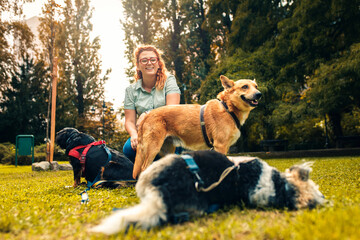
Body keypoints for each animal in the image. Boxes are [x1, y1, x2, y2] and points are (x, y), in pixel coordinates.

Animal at [132, 75, 262, 178]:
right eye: (245, 86)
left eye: (256, 86)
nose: (259, 94)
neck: (228, 108)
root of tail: (147, 115)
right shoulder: (220, 146)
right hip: (153, 148)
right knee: (143, 169)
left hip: (167, 151)